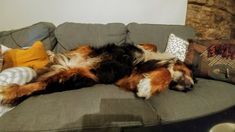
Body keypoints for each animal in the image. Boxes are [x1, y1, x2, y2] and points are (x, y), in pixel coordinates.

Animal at [0, 43, 195, 105]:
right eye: (192, 74)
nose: (191, 87)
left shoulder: (128, 78)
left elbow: (164, 72)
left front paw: (146, 86)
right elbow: (152, 48)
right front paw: (149, 85)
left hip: (79, 76)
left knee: (39, 84)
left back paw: (8, 91)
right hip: (85, 50)